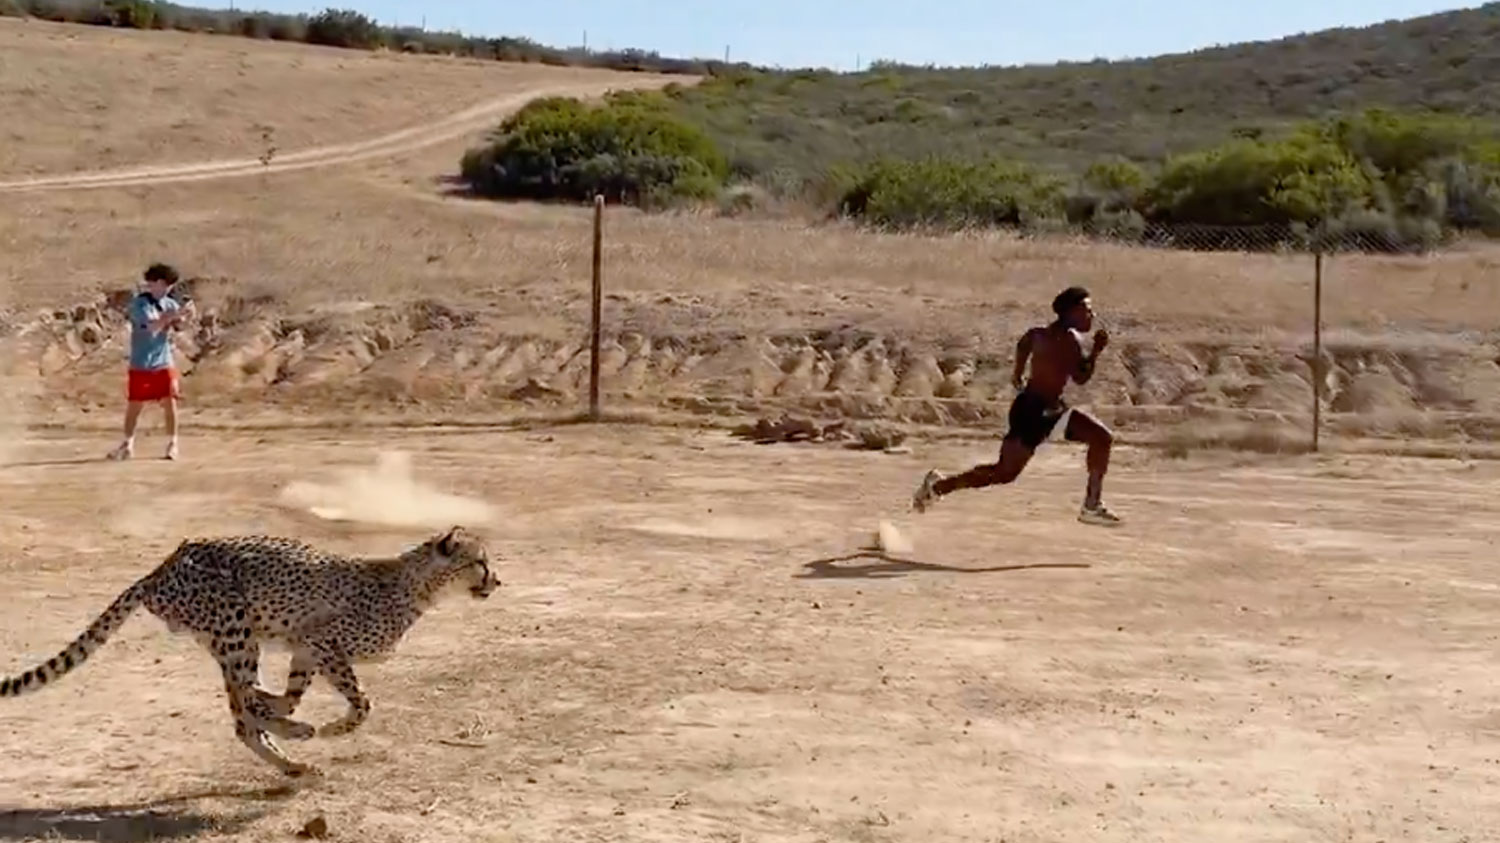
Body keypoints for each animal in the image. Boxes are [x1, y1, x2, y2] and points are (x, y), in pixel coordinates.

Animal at [1, 525, 499, 777]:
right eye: (479, 561)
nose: (496, 580)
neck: (416, 587)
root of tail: (160, 568)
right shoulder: (323, 642)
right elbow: (362, 703)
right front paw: (334, 727)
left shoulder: (305, 647)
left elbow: (292, 694)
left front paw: (283, 708)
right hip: (235, 628)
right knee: (243, 712)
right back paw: (296, 740)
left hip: (232, 639)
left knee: (243, 714)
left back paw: (291, 758)